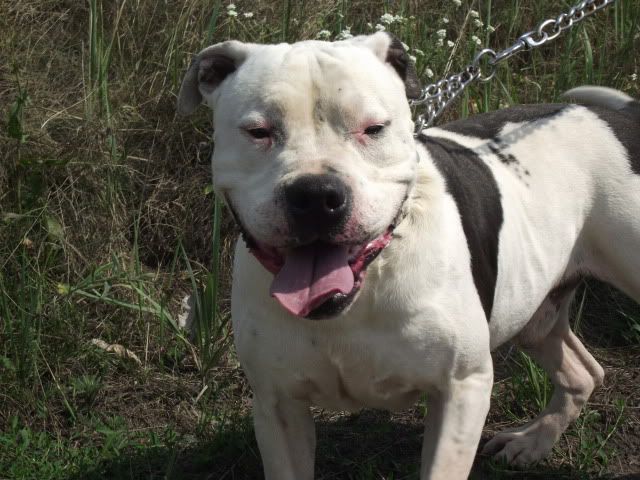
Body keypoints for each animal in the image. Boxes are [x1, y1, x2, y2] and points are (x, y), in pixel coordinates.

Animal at [177, 32, 640, 479]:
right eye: (258, 131)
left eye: (374, 128)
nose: (315, 195)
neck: (367, 284)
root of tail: (613, 117)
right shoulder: (278, 403)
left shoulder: (462, 388)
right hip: (535, 312)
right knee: (584, 372)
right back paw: (531, 442)